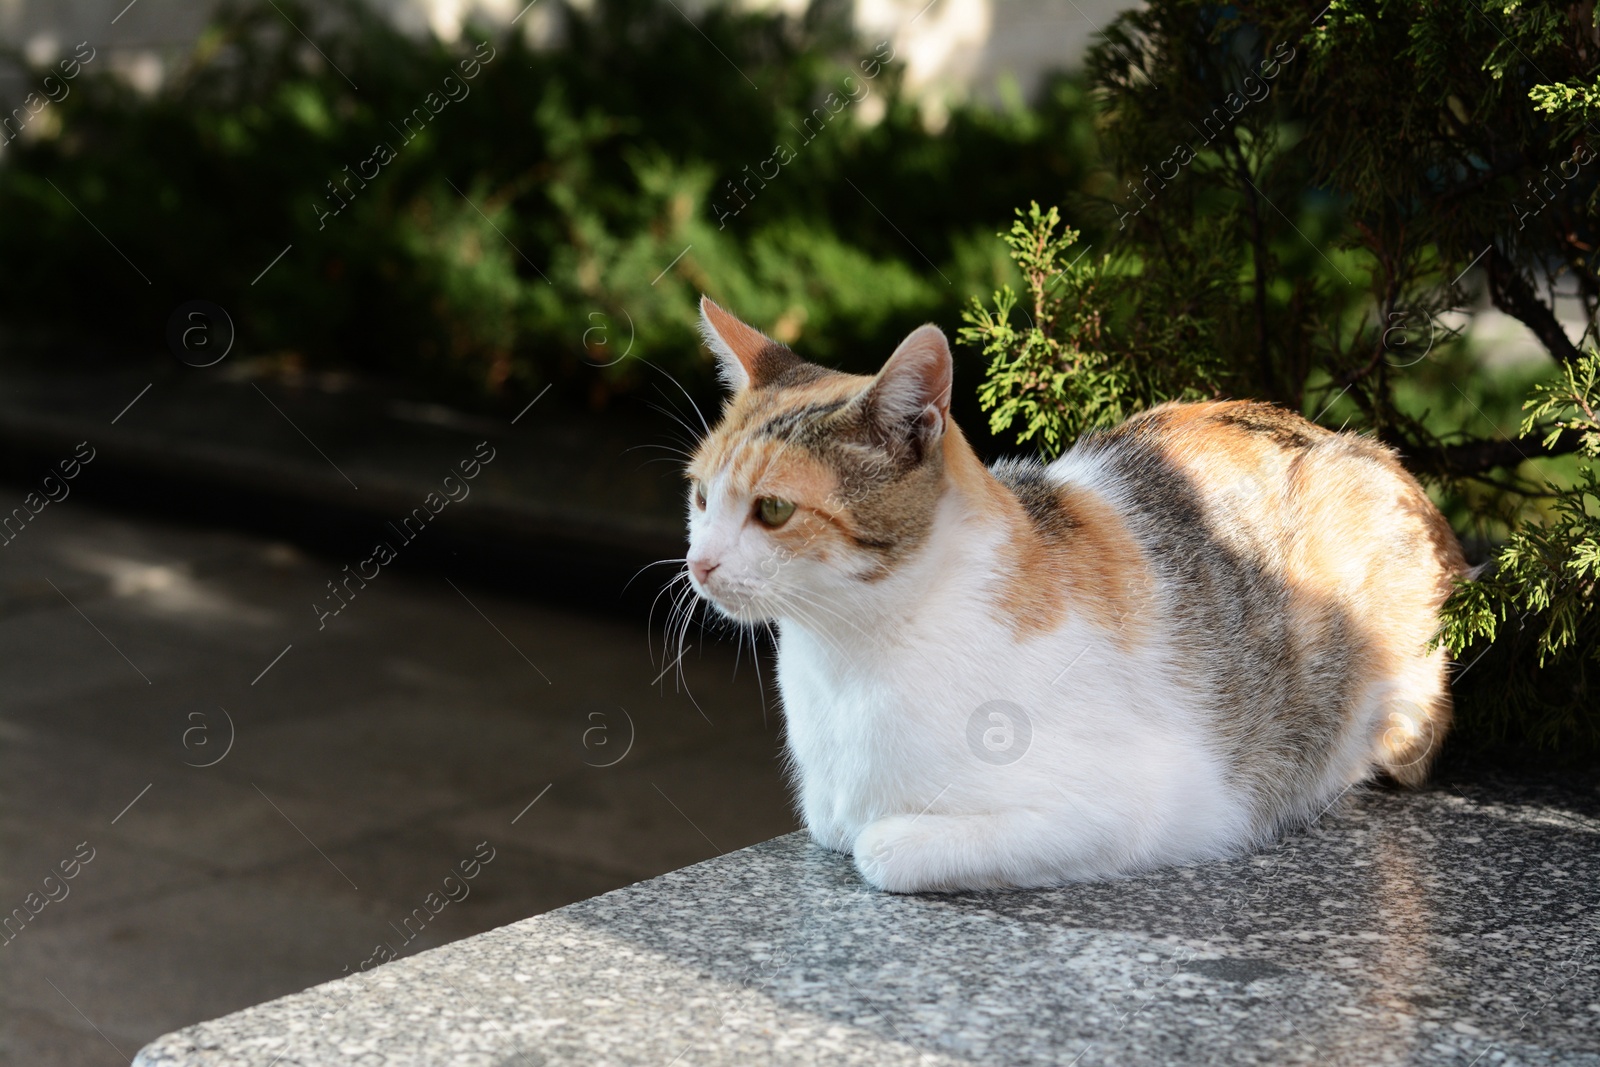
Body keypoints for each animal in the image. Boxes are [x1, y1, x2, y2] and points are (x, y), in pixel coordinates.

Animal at [681, 294, 1465, 895]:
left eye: (773, 510)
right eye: (700, 496)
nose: (698, 563)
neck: (847, 658)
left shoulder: (1147, 801)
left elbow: (880, 848)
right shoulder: (827, 807)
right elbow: (833, 824)